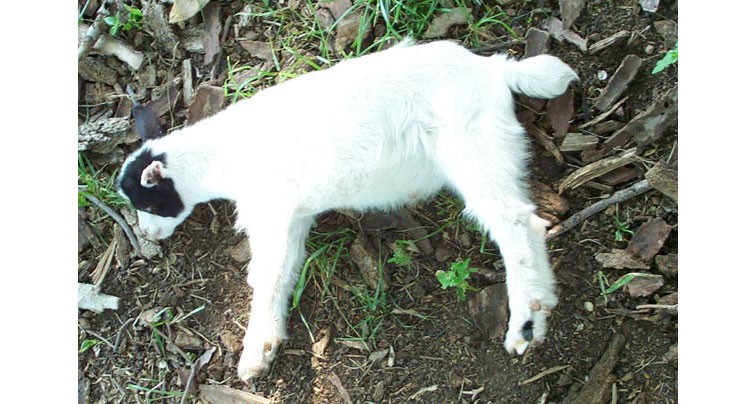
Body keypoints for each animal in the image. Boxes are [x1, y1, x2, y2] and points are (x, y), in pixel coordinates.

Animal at [116, 38, 580, 382]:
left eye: (147, 201)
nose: (147, 238)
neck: (223, 155)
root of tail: (494, 70)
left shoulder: (269, 209)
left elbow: (265, 276)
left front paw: (253, 353)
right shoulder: (293, 216)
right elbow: (285, 272)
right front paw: (268, 345)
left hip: (473, 146)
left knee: (516, 223)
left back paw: (525, 324)